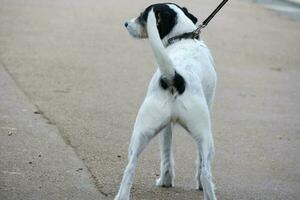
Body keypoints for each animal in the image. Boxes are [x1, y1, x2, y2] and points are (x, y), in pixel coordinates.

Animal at [114, 3, 216, 200]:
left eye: (142, 16)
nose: (125, 23)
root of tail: (174, 76)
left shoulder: (170, 127)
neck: (183, 38)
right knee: (205, 172)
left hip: (142, 132)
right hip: (204, 136)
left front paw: (167, 180)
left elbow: (167, 153)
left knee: (130, 168)